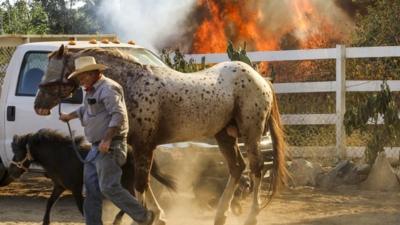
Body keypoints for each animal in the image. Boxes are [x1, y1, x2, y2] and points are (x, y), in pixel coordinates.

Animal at [8, 128, 175, 225]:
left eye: (18, 153)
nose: (11, 172)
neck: (61, 157)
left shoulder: (75, 188)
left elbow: (82, 208)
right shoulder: (60, 186)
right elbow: (49, 203)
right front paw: (45, 222)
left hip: (126, 182)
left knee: (133, 199)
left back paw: (122, 220)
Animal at [33, 45, 288, 225]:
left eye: (51, 73)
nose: (39, 106)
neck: (130, 85)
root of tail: (260, 79)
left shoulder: (145, 145)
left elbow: (141, 183)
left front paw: (148, 217)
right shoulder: (139, 147)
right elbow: (142, 182)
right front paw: (156, 215)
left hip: (251, 133)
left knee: (256, 169)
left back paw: (251, 217)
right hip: (225, 135)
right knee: (237, 168)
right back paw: (220, 216)